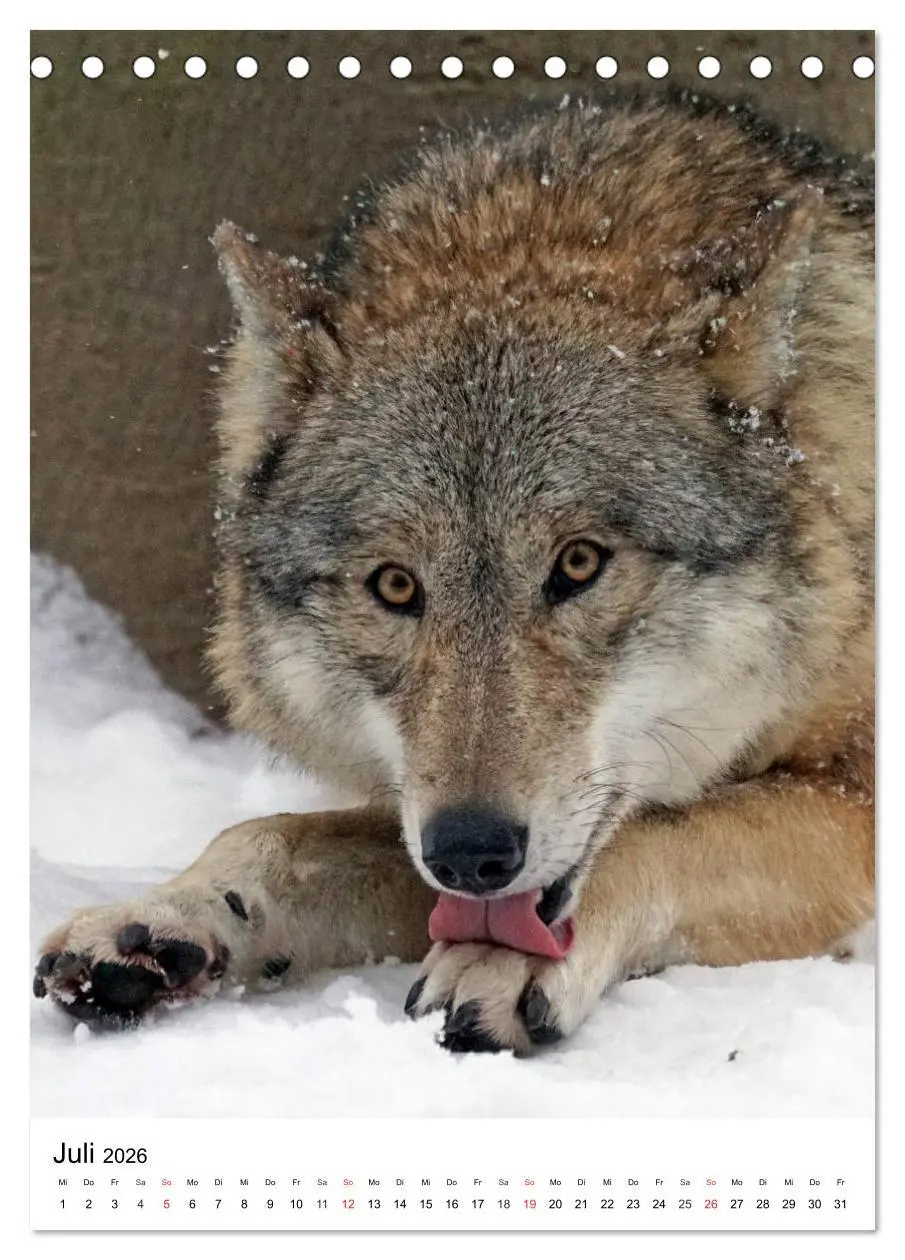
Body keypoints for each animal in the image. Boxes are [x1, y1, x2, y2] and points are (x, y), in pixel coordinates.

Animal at [34, 90, 874, 1055]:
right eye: (395, 586)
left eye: (577, 564)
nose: (471, 851)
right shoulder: (413, 816)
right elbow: (270, 836)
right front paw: (161, 921)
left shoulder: (851, 801)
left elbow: (657, 832)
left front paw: (506, 958)